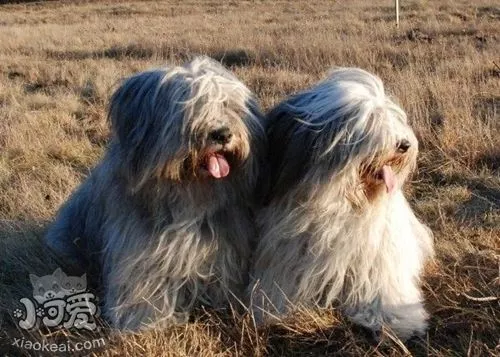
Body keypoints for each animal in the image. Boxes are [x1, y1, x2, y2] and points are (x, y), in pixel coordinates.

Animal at [45, 57, 268, 330]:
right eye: (190, 108)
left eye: (228, 105)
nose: (223, 134)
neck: (189, 198)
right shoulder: (141, 253)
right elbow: (144, 285)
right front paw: (144, 321)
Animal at [250, 67, 434, 340]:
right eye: (369, 121)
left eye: (392, 118)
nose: (404, 144)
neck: (342, 203)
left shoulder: (378, 257)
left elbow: (382, 289)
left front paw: (394, 319)